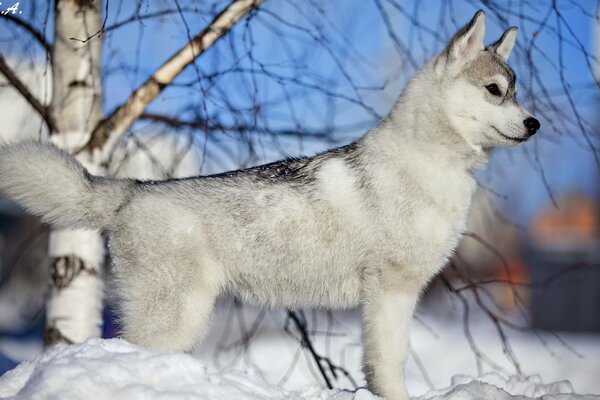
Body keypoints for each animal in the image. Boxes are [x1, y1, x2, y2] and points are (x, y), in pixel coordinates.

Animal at [1, 10, 540, 398]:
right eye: (494, 91)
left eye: (515, 92)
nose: (534, 123)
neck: (430, 161)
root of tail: (133, 189)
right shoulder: (392, 291)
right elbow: (389, 363)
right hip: (174, 315)